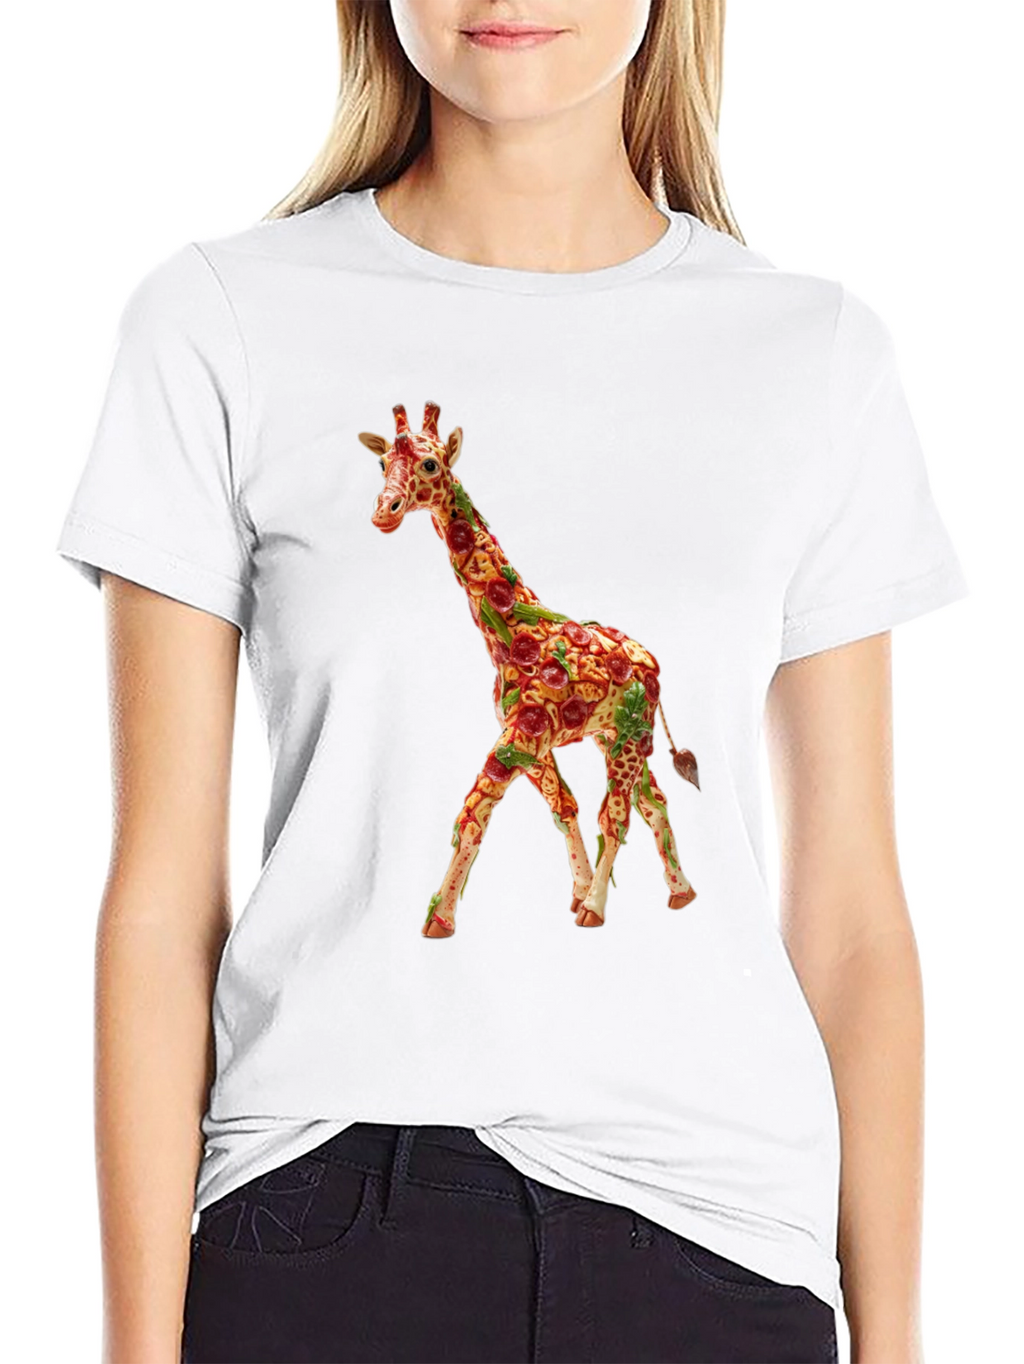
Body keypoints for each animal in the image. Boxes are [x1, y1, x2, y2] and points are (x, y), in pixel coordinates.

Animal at [358, 401, 701, 938]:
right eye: (381, 463)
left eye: (431, 464)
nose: (383, 512)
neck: (511, 637)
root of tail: (651, 659)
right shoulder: (531, 746)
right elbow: (564, 808)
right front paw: (577, 888)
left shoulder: (522, 736)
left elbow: (473, 813)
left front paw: (441, 919)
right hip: (616, 734)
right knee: (654, 801)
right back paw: (681, 893)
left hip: (630, 735)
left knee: (618, 815)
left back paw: (598, 909)